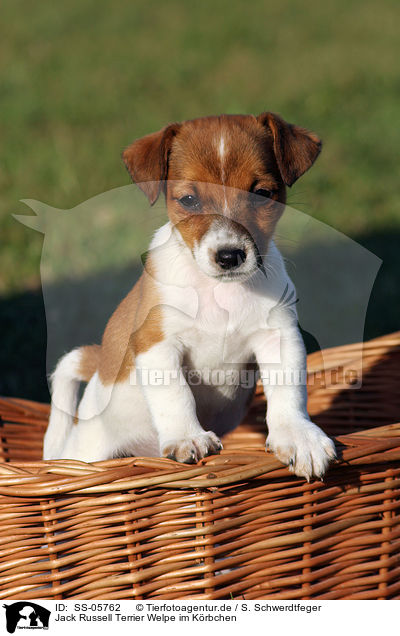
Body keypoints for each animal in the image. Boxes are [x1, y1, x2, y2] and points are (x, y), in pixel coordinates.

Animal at [43, 112, 336, 480]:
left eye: (262, 194)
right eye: (189, 200)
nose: (229, 256)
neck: (221, 292)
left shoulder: (279, 337)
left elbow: (288, 390)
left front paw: (298, 436)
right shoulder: (156, 342)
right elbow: (175, 394)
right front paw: (187, 437)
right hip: (89, 451)